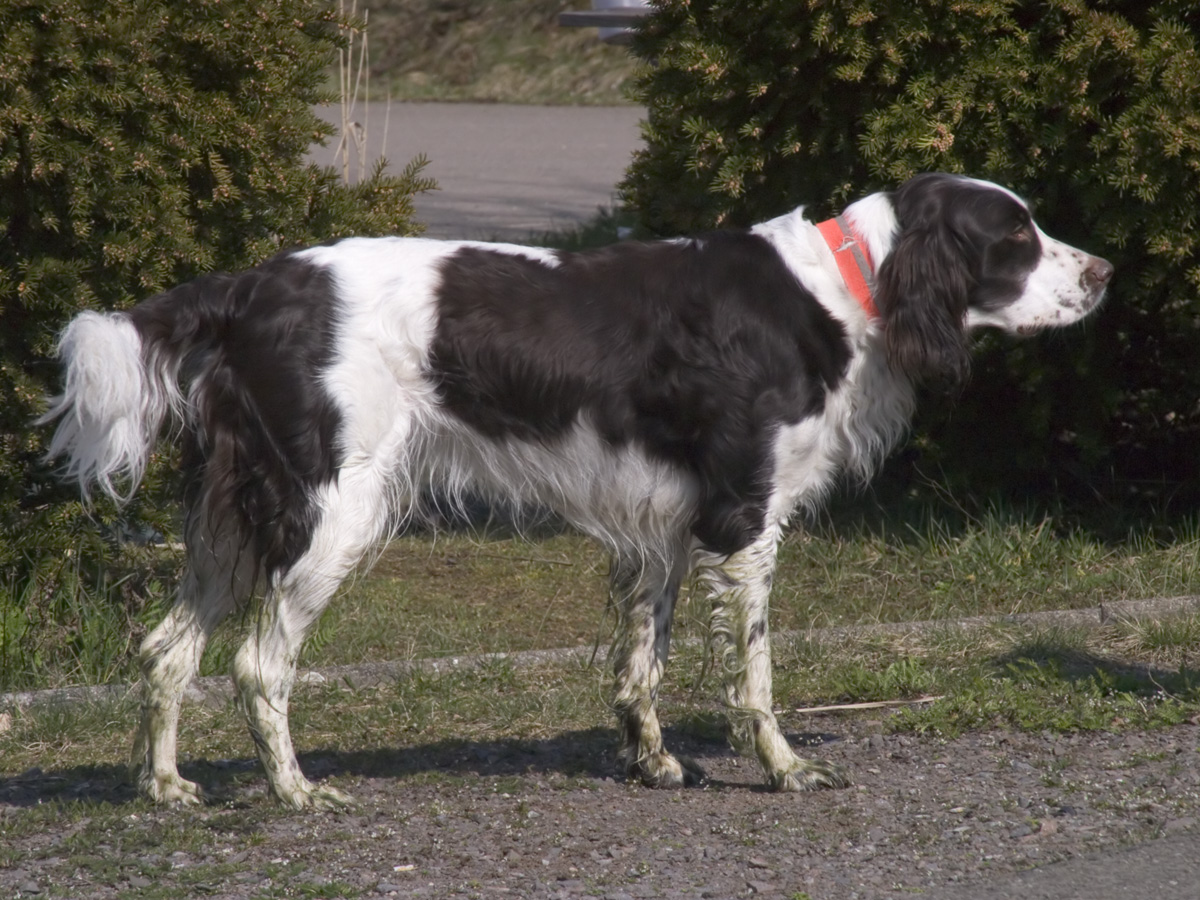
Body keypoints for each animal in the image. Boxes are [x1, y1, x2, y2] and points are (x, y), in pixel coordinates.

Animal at [39, 172, 1113, 806]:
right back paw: (297, 794)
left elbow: (644, 663)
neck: (845, 288)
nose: (1106, 271)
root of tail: (247, 290)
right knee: (259, 664)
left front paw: (654, 762)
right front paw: (784, 768)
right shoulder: (742, 519)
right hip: (328, 514)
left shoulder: (665, 528)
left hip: (232, 519)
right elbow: (755, 673)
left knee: (167, 650)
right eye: (1017, 238)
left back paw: (166, 787)